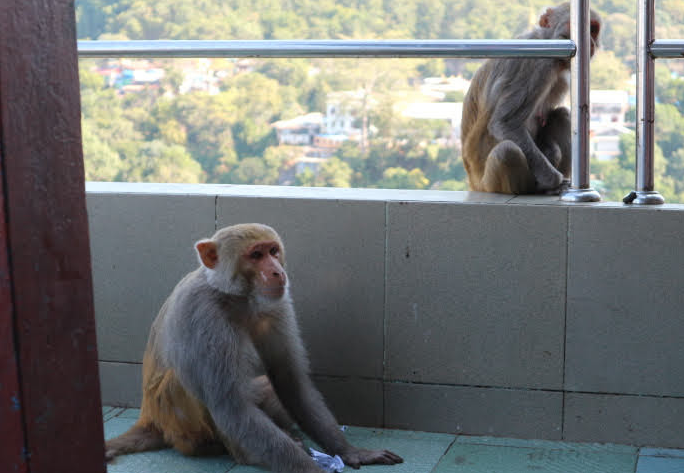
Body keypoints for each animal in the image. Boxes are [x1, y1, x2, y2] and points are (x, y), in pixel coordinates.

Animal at [103, 224, 400, 472]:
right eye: (256, 255)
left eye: (273, 251)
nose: (277, 271)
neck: (236, 298)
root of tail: (149, 417)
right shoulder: (202, 315)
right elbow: (231, 407)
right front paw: (311, 469)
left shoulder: (277, 306)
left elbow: (289, 381)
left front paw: (350, 451)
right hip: (180, 425)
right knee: (188, 387)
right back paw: (237, 453)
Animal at [462, 1, 600, 194]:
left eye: (593, 30)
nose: (591, 42)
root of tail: (473, 182)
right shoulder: (537, 65)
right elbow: (505, 124)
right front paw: (553, 180)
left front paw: (551, 153)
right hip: (488, 184)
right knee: (507, 151)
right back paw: (539, 188)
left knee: (562, 115)